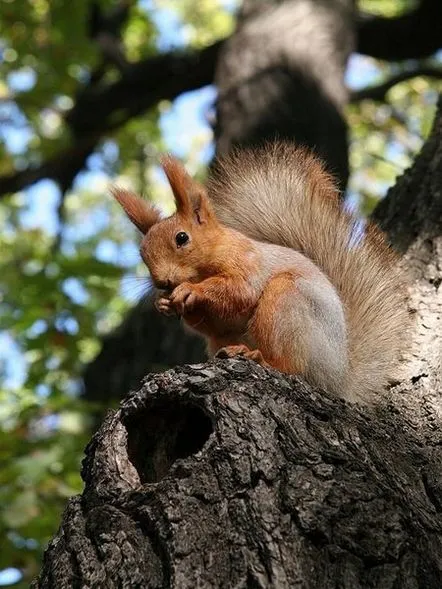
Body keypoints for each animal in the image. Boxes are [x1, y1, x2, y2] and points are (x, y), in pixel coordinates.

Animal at [112, 140, 410, 402]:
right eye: (142, 253)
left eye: (182, 238)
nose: (162, 282)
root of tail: (339, 380)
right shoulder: (217, 324)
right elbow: (208, 323)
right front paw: (164, 304)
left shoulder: (248, 261)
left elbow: (240, 292)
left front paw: (190, 291)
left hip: (286, 303)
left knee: (294, 368)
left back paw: (259, 357)